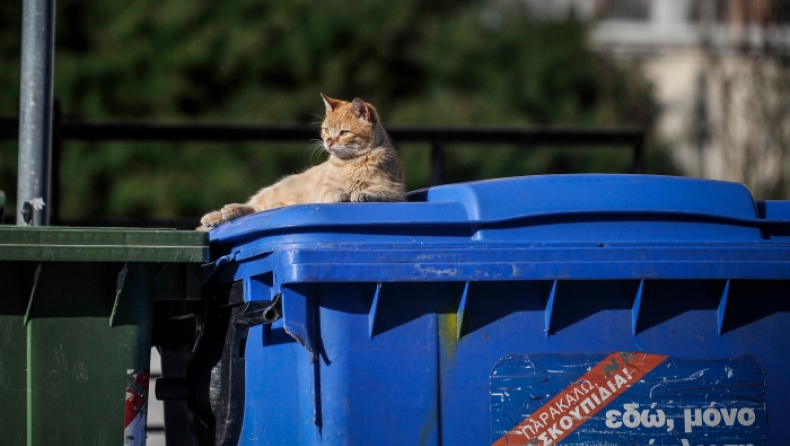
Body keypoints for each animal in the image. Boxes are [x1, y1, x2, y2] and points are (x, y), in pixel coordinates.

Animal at [201, 92, 406, 228]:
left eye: (344, 132)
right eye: (326, 130)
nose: (328, 142)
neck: (351, 162)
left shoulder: (395, 191)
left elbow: (375, 190)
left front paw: (362, 192)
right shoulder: (325, 187)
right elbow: (331, 190)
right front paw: (339, 194)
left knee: (258, 209)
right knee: (253, 205)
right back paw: (219, 215)